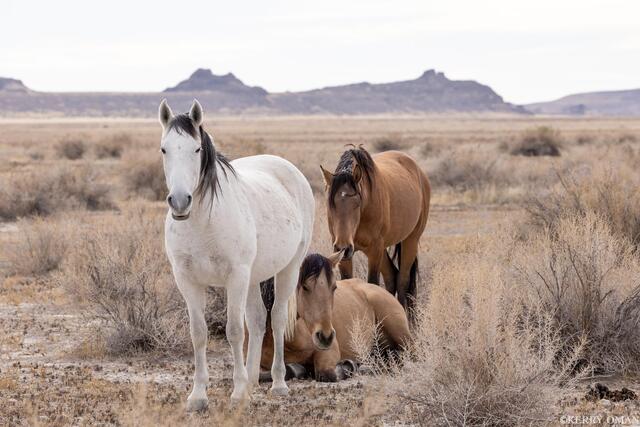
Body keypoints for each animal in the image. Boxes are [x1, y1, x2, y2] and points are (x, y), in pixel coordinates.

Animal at [159, 99, 314, 411]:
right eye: (164, 149)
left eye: (197, 149)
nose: (180, 202)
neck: (202, 223)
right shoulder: (187, 280)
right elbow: (199, 333)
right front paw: (198, 395)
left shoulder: (236, 277)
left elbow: (233, 331)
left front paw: (238, 391)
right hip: (253, 277)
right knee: (257, 319)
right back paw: (253, 379)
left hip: (287, 269)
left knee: (277, 319)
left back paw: (277, 383)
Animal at [256, 251, 411, 382]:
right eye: (304, 286)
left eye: (334, 287)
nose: (326, 337)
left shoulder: (329, 352)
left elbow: (327, 373)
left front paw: (349, 366)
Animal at [320, 146, 430, 316]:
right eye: (330, 204)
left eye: (357, 203)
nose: (344, 248)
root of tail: (419, 172)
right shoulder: (343, 256)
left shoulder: (374, 250)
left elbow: (372, 283)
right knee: (392, 276)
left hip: (410, 240)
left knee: (403, 280)